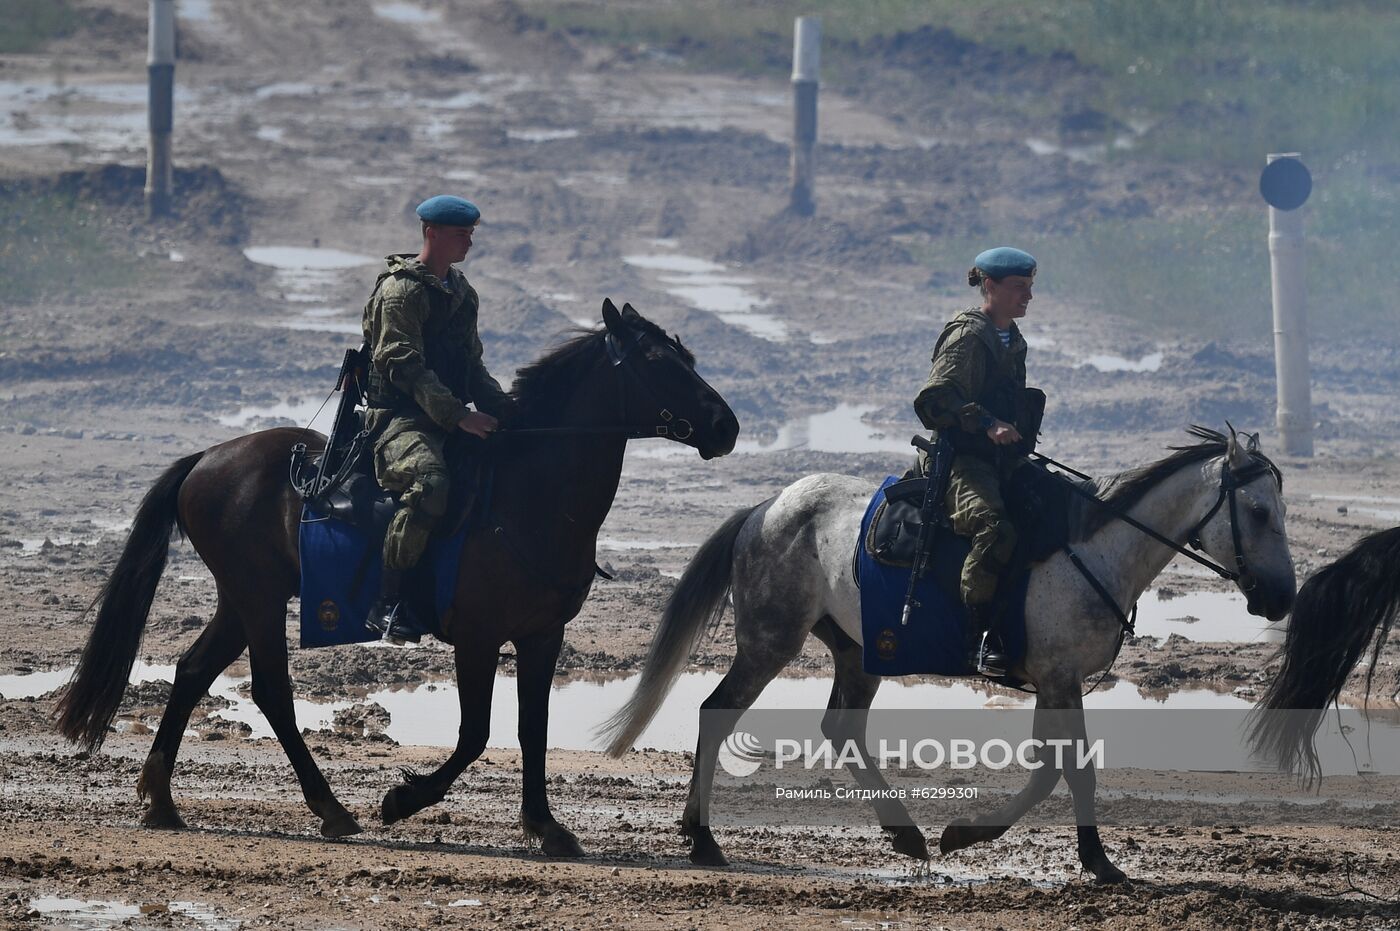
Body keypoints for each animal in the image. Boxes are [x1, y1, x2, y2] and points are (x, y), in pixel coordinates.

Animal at [56, 301, 739, 851]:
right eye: (659, 362)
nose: (726, 425)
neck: (526, 493)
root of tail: (207, 459)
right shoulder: (478, 638)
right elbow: (474, 734)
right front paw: (402, 800)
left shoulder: (543, 636)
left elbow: (533, 728)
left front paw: (545, 826)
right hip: (257, 599)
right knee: (272, 691)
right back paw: (330, 808)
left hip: (242, 600)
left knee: (194, 671)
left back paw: (161, 799)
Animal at [602, 425, 1299, 879]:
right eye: (1259, 511)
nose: (1282, 597)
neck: (1091, 546)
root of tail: (766, 508)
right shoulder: (1060, 677)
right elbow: (1070, 768)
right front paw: (1092, 860)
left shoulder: (1052, 681)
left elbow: (1051, 767)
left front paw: (974, 835)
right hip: (771, 642)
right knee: (716, 713)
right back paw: (703, 841)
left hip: (858, 650)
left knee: (841, 727)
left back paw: (904, 833)